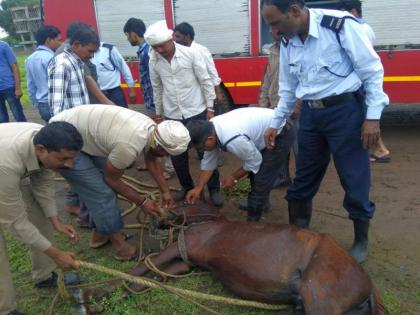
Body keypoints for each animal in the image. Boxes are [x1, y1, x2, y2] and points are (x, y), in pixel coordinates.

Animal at [128, 204, 388, 314]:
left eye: (173, 202)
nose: (154, 219)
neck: (210, 223)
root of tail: (369, 283)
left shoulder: (179, 247)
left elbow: (146, 265)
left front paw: (120, 284)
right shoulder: (185, 261)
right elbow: (160, 273)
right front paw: (138, 286)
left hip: (320, 303)